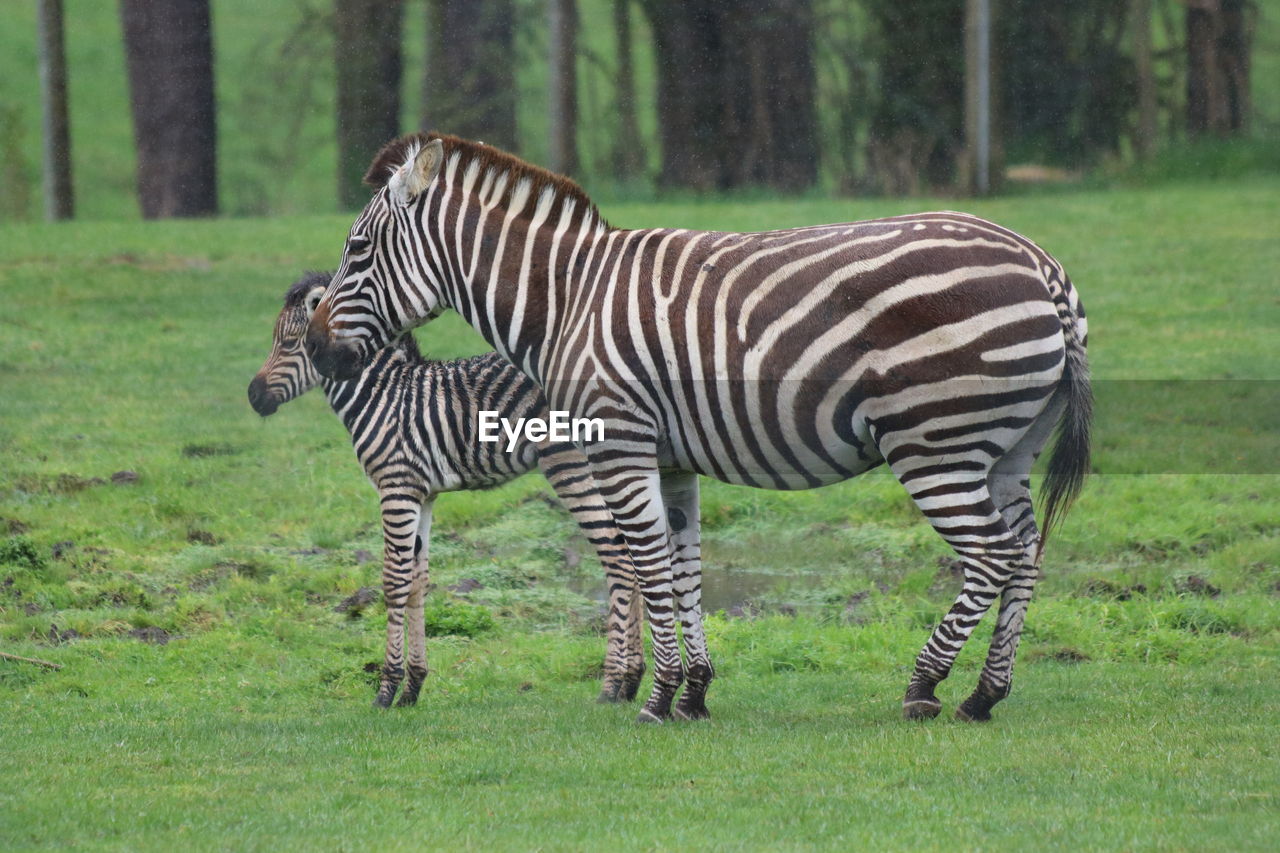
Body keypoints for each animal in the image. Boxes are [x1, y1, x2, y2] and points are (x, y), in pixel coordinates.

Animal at [248, 272, 645, 701]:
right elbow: (417, 581)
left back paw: (613, 685)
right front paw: (412, 688)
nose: (253, 397)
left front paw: (386, 690)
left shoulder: (395, 487)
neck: (382, 397)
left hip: (569, 464)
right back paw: (633, 681)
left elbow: (393, 581)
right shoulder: (423, 494)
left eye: (291, 343)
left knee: (619, 561)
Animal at [302, 134, 1090, 722]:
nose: (313, 347)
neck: (568, 298)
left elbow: (647, 564)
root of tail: (1042, 264)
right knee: (1026, 553)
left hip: (933, 445)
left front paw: (655, 696)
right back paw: (985, 694)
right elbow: (684, 570)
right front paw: (696, 690)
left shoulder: (619, 442)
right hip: (1007, 450)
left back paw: (925, 685)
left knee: (991, 555)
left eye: (357, 252)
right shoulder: (673, 459)